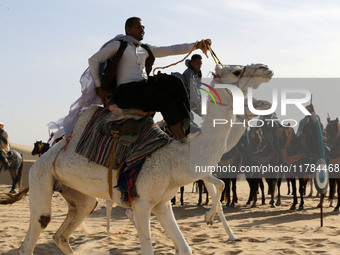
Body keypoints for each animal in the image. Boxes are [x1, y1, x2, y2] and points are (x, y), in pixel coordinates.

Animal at [1, 62, 274, 254]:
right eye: (237, 71)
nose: (265, 69)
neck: (176, 157)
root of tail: (46, 153)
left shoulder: (162, 203)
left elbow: (185, 248)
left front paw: (219, 229)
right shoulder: (143, 202)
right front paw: (212, 221)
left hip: (80, 195)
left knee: (64, 232)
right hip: (41, 177)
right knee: (34, 233)